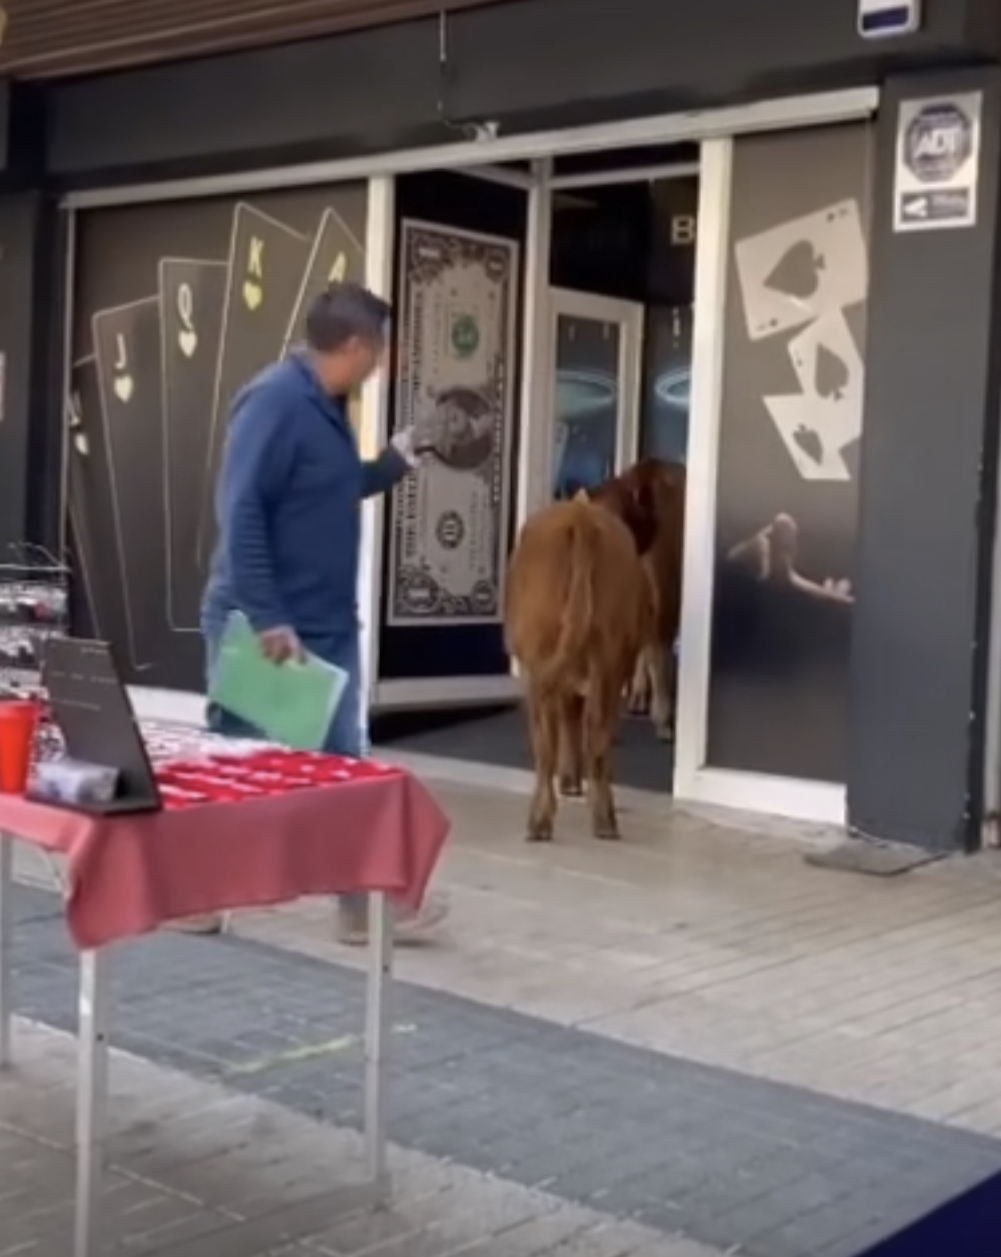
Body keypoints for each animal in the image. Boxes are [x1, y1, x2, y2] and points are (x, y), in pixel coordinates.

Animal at [500, 475, 658, 839]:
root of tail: (581, 518)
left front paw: (570, 781)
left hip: (545, 662)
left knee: (547, 744)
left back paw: (541, 820)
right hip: (609, 660)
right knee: (597, 733)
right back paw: (603, 819)